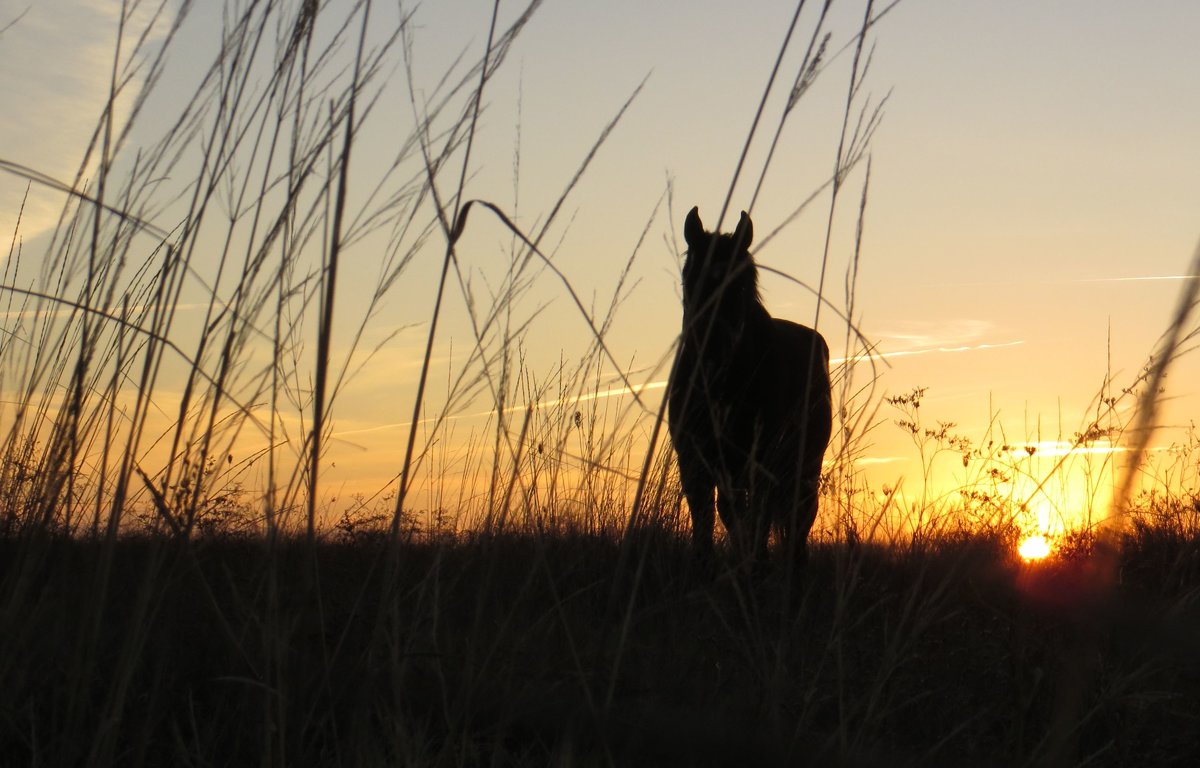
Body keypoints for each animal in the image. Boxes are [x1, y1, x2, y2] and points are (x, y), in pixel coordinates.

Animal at [667, 205, 835, 571]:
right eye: (691, 280)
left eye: (741, 285)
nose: (714, 350)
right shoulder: (693, 457)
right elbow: (705, 514)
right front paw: (704, 562)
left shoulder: (757, 457)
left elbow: (753, 515)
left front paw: (755, 562)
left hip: (803, 463)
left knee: (799, 513)